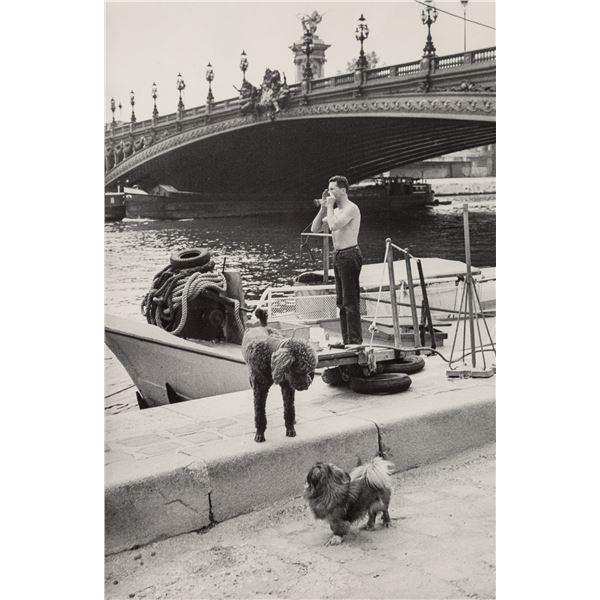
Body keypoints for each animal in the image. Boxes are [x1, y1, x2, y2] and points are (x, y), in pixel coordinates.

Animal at [243, 310, 322, 440]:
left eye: (309, 370)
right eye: (300, 370)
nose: (306, 385)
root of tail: (262, 326)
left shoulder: (287, 387)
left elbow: (289, 410)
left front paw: (290, 428)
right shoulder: (259, 388)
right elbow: (259, 412)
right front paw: (259, 433)